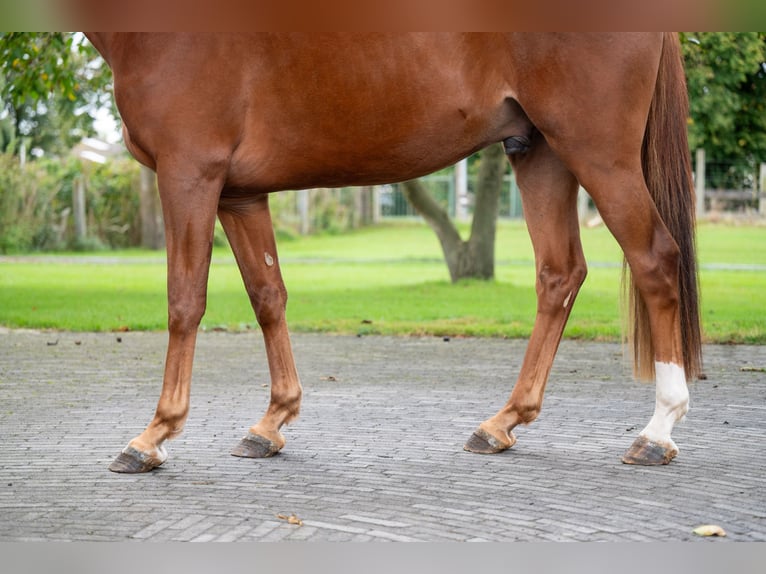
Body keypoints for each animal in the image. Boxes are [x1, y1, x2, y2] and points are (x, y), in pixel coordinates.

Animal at [87, 31, 704, 474]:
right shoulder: (240, 194)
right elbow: (267, 296)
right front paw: (271, 423)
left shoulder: (189, 174)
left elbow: (184, 301)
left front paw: (153, 436)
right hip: (540, 153)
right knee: (559, 274)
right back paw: (501, 424)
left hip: (597, 153)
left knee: (653, 260)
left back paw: (657, 432)